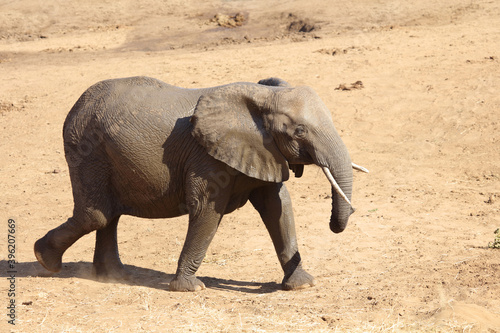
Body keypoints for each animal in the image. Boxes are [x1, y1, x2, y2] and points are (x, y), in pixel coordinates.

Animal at [33, 76, 366, 290]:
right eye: (299, 131)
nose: (336, 223)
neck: (262, 97)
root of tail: (76, 104)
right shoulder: (206, 158)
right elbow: (207, 209)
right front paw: (190, 288)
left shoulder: (264, 150)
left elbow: (277, 207)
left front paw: (301, 285)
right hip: (85, 148)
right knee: (96, 214)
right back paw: (45, 260)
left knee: (108, 215)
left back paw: (115, 277)